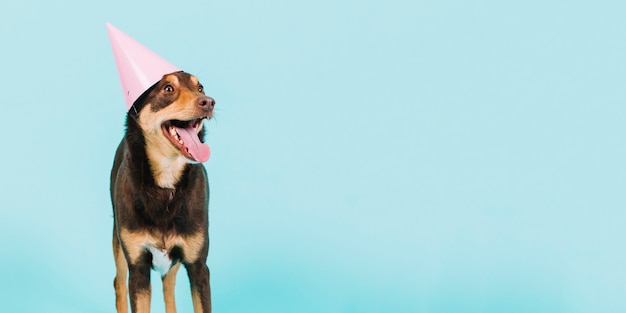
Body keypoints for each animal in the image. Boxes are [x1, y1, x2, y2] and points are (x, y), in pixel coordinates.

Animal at [108, 71, 213, 312]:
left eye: (200, 88)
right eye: (168, 89)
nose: (209, 102)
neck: (166, 186)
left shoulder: (198, 267)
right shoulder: (138, 268)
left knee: (168, 286)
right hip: (118, 244)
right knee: (119, 284)